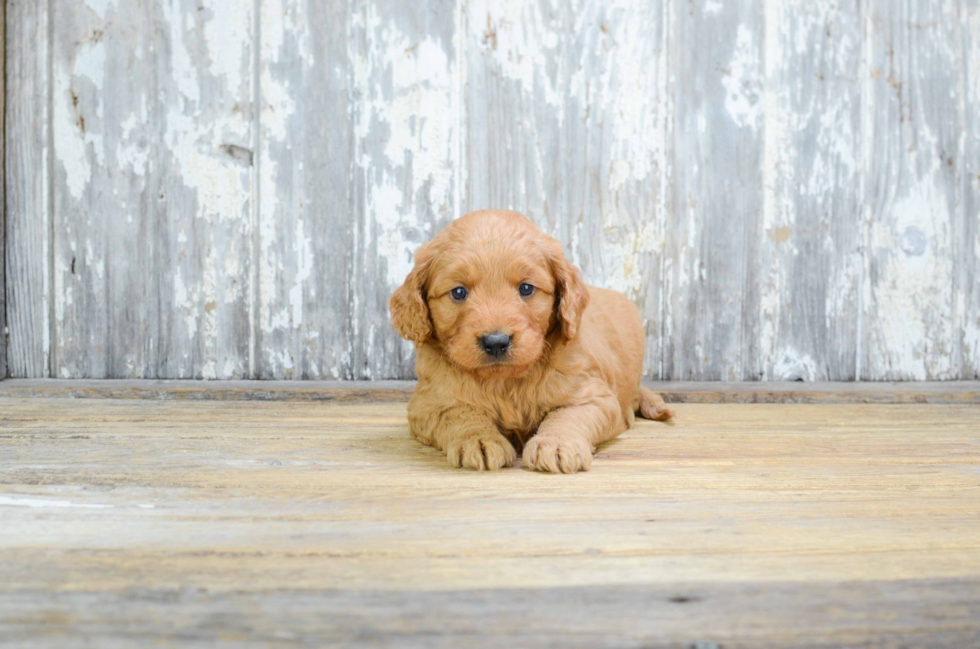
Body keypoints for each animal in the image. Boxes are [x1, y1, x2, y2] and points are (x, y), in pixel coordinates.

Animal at [390, 210, 672, 474]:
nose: (496, 342)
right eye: (458, 292)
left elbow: (568, 414)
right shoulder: (428, 403)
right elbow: (460, 413)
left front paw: (556, 443)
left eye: (526, 288)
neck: (504, 382)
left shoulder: (593, 396)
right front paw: (480, 440)